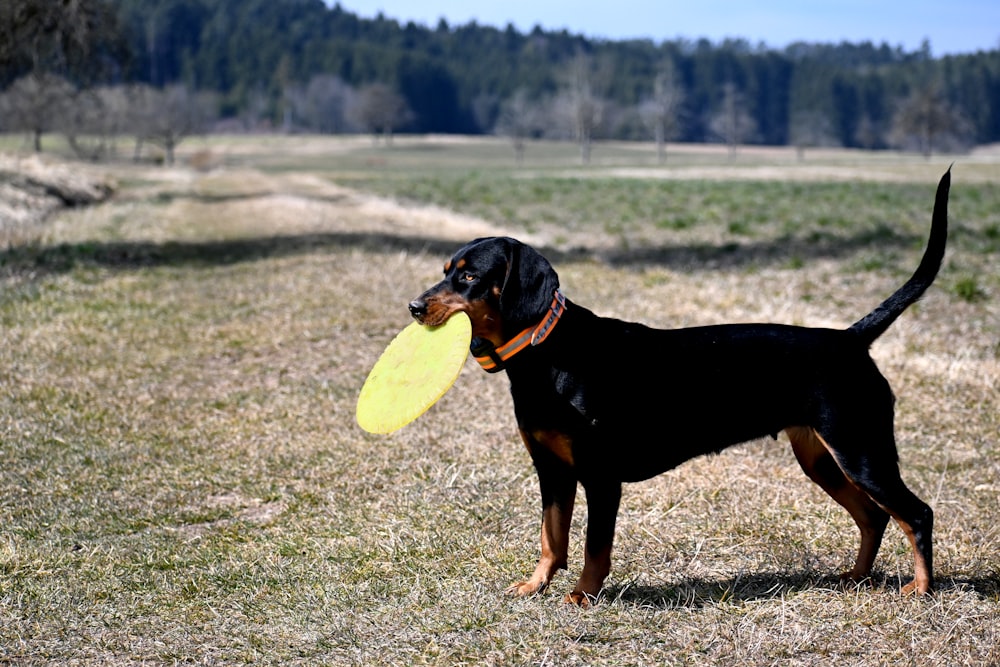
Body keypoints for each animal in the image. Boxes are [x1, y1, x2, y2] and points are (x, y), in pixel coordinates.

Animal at [408, 168, 952, 604]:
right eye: (445, 272)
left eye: (469, 277)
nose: (414, 307)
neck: (548, 351)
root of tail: (849, 339)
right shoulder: (552, 470)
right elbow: (552, 538)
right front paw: (535, 585)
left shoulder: (601, 477)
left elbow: (593, 547)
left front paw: (582, 596)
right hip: (823, 459)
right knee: (874, 517)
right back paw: (855, 578)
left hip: (861, 452)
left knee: (916, 514)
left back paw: (921, 590)